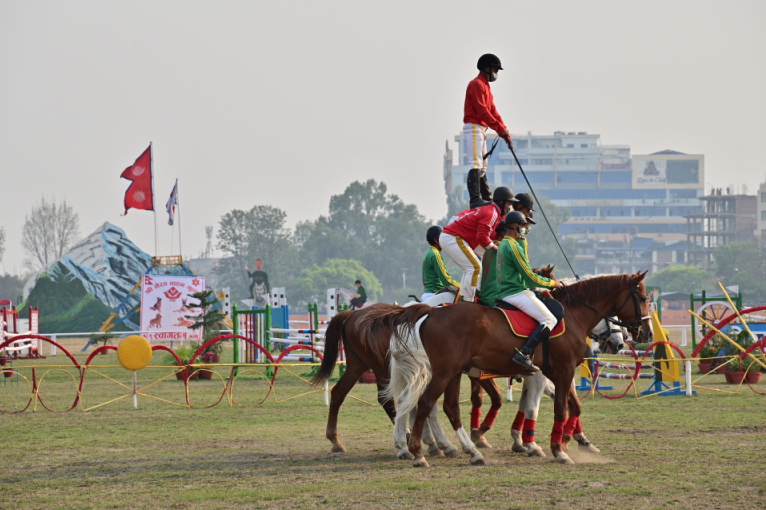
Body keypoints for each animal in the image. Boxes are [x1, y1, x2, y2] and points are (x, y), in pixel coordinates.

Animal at [362, 270, 656, 466]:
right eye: (642, 297)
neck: (572, 314)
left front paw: (560, 440)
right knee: (424, 405)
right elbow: (554, 407)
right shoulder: (558, 372)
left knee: (440, 407)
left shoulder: (547, 373)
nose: (643, 333)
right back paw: (420, 452)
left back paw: (464, 450)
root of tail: (429, 311)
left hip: (451, 373)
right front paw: (554, 447)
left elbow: (562, 405)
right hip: (442, 373)